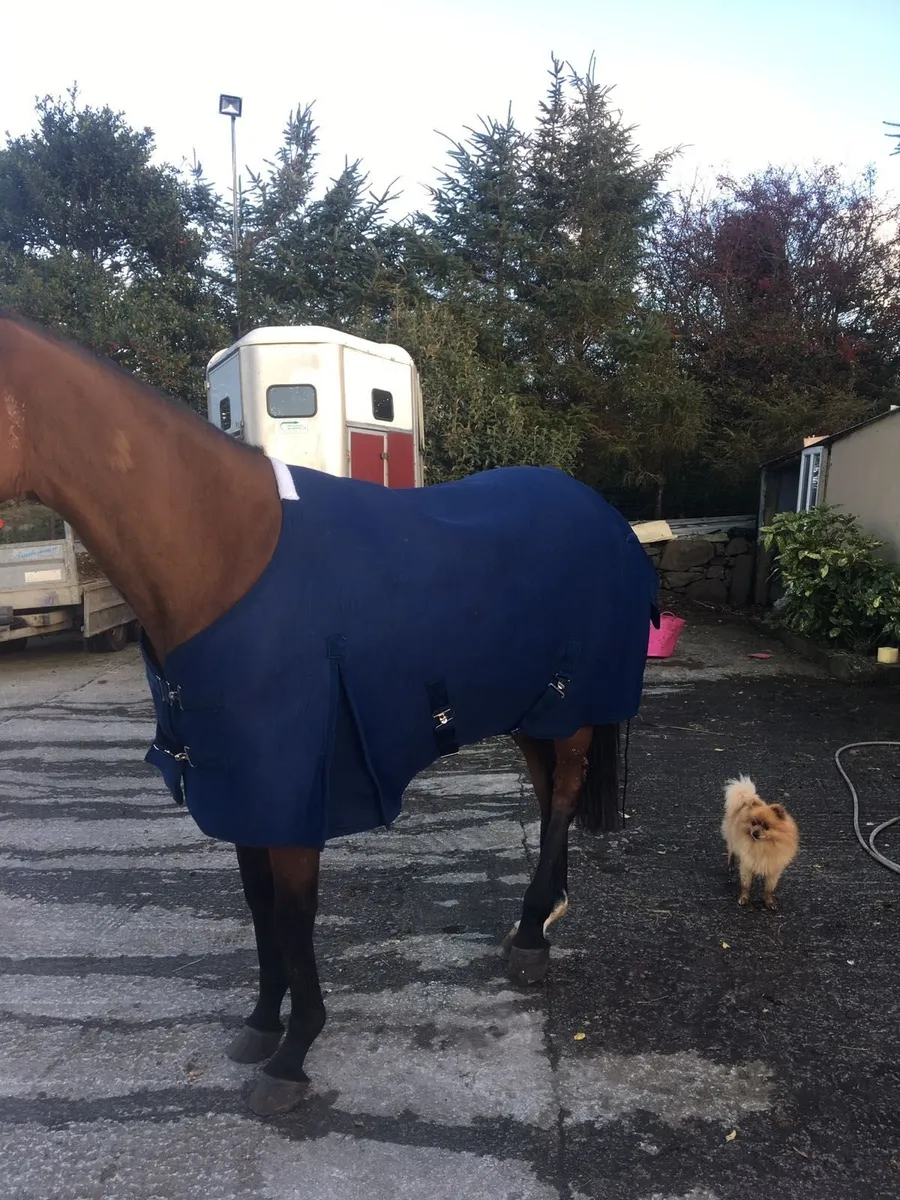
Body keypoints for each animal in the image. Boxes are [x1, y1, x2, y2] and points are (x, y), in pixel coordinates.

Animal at [0, 310, 658, 1116]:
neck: (227, 555)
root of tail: (603, 513)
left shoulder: (292, 790)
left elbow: (293, 913)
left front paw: (294, 1052)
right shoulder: (243, 789)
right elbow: (259, 908)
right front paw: (260, 1024)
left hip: (569, 706)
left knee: (562, 795)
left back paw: (533, 936)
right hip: (533, 712)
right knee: (547, 796)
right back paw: (540, 916)